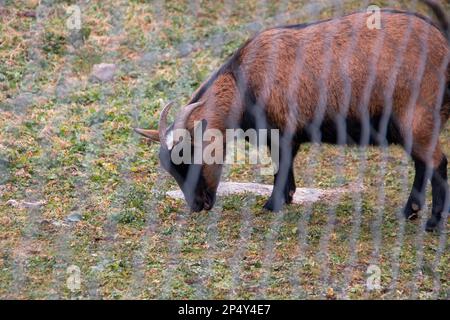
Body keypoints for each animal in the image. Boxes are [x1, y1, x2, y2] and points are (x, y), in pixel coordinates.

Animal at [136, 0, 450, 231]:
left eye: (190, 158)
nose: (198, 205)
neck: (243, 81)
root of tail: (443, 43)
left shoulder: (283, 131)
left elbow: (281, 165)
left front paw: (272, 204)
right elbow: (284, 168)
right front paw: (286, 198)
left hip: (416, 118)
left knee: (437, 163)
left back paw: (431, 223)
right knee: (423, 164)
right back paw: (411, 212)